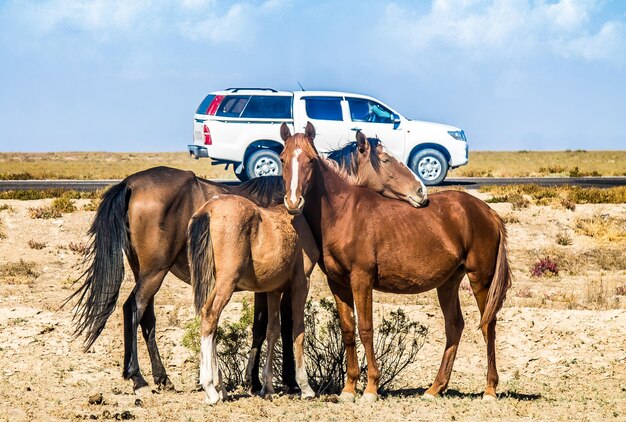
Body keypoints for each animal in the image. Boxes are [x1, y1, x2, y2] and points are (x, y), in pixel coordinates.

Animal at [280, 123, 510, 402]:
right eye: (282, 159)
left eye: (311, 160)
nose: (293, 202)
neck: (343, 213)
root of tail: (488, 212)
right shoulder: (338, 283)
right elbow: (348, 330)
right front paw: (348, 389)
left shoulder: (361, 279)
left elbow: (366, 328)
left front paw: (370, 389)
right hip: (448, 282)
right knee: (455, 325)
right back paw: (434, 389)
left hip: (480, 279)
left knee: (488, 324)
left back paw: (489, 390)